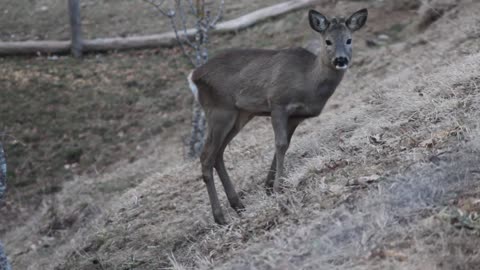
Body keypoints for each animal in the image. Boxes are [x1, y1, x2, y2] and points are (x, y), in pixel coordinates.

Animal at [188, 8, 368, 224]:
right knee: (206, 156)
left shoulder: (296, 116)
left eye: (349, 40)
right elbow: (280, 144)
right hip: (219, 110)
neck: (308, 81)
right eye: (328, 41)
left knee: (218, 154)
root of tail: (193, 76)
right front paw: (277, 188)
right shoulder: (278, 103)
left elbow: (285, 144)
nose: (341, 60)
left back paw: (238, 205)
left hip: (239, 114)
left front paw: (269, 186)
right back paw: (220, 217)